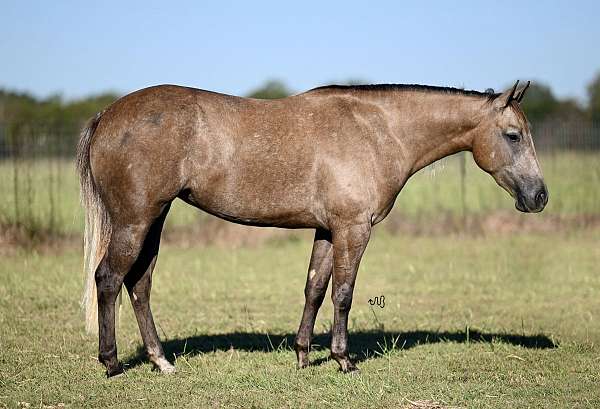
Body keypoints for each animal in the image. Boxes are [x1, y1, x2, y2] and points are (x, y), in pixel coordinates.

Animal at [76, 79, 548, 376]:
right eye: (513, 135)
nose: (539, 196)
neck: (376, 131)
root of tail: (106, 115)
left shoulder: (327, 231)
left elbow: (315, 288)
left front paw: (303, 356)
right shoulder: (353, 230)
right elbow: (343, 294)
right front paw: (343, 360)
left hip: (153, 220)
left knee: (139, 284)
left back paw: (161, 361)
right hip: (135, 221)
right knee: (109, 279)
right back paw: (111, 363)